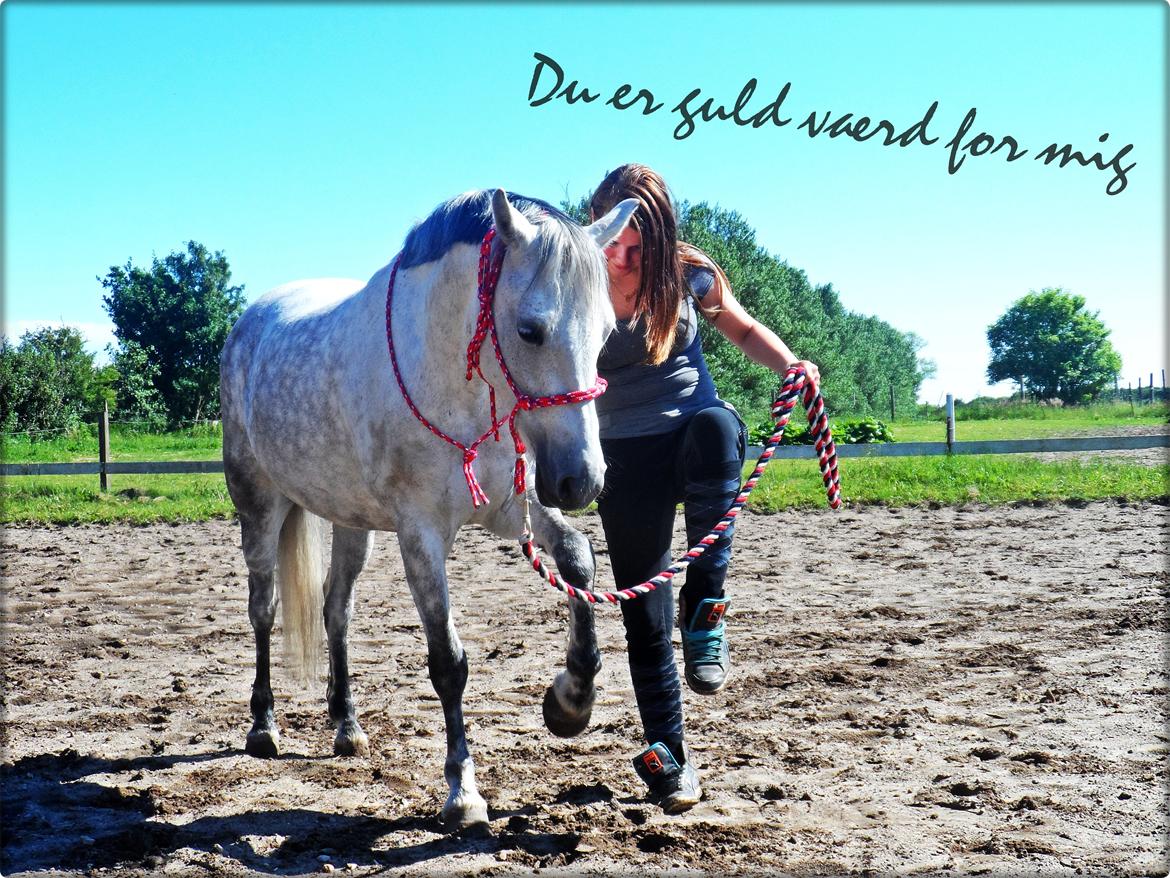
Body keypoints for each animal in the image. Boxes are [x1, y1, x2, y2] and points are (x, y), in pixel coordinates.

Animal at [219, 189, 636, 830]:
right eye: (530, 330)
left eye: (607, 332)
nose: (581, 480)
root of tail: (249, 324)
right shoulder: (421, 534)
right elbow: (448, 662)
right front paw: (462, 791)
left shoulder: (514, 506)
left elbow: (578, 560)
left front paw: (571, 701)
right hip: (261, 505)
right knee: (263, 610)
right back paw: (263, 726)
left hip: (351, 522)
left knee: (336, 610)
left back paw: (347, 725)